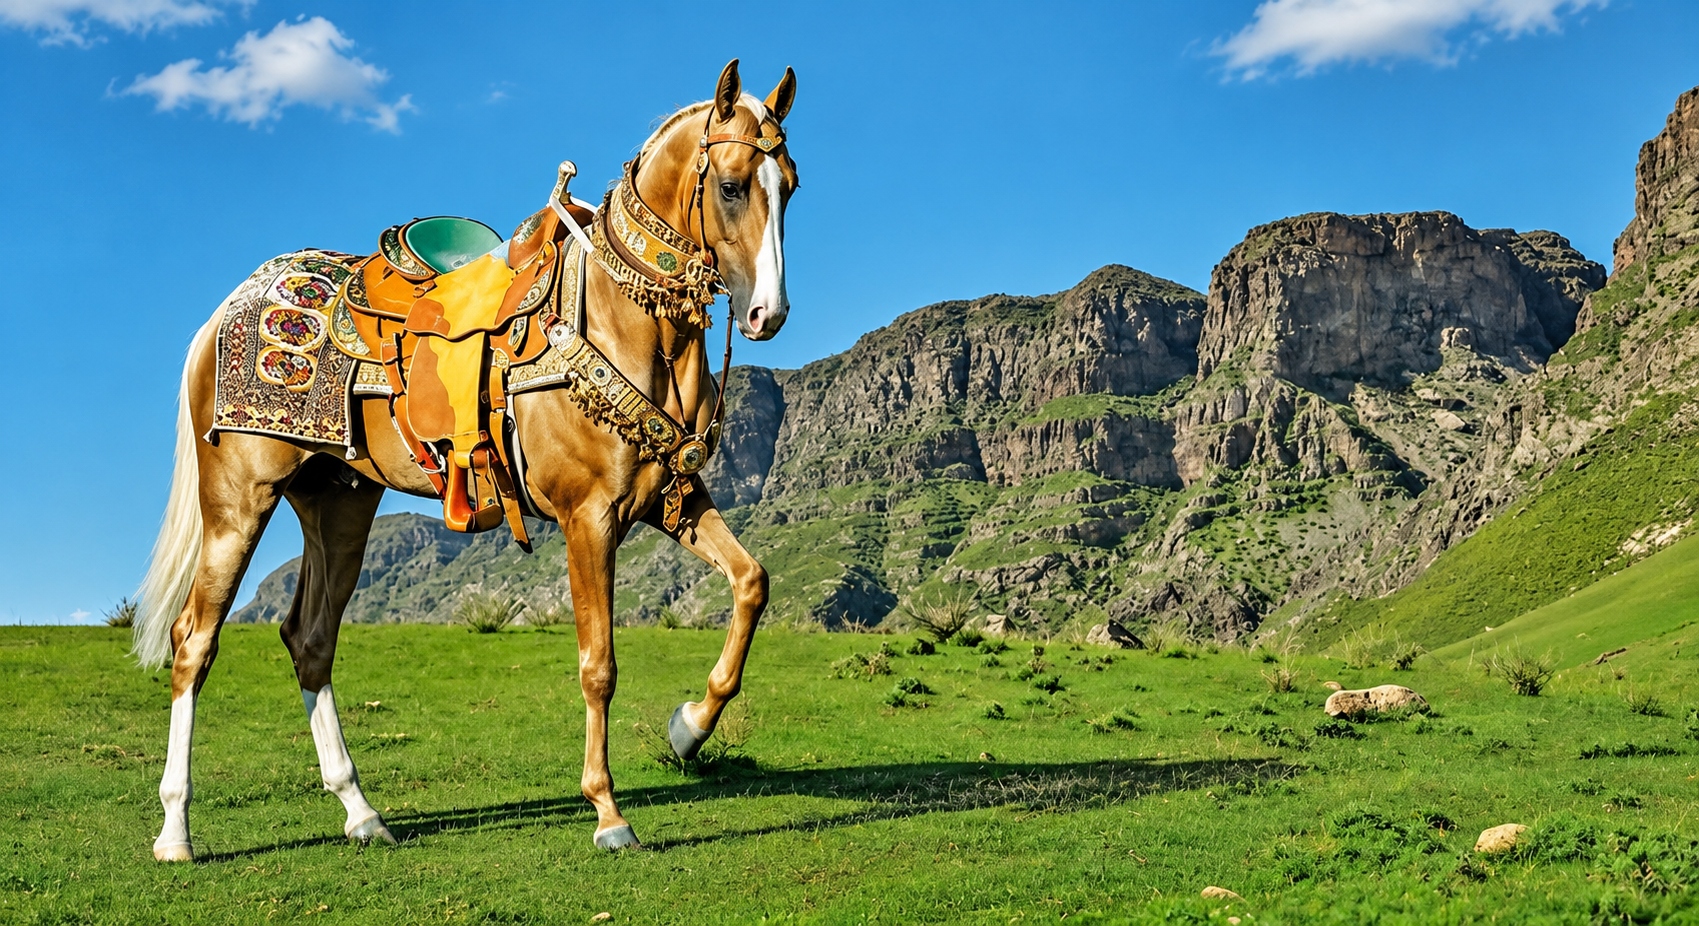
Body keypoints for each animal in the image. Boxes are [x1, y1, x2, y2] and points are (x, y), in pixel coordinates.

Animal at [129, 59, 798, 859]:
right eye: (731, 185)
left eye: (789, 186)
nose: (767, 314)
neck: (619, 317)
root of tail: (223, 313)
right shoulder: (589, 517)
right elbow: (598, 665)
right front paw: (608, 812)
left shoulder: (674, 498)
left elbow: (751, 583)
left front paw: (689, 729)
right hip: (239, 500)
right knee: (193, 642)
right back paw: (174, 831)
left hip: (338, 501)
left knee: (310, 639)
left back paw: (361, 812)